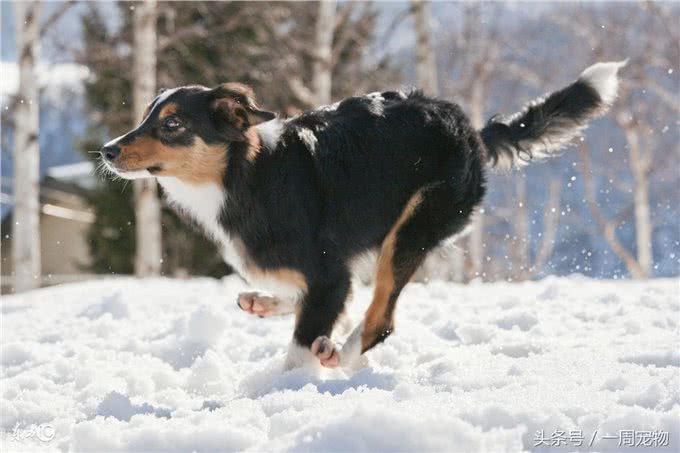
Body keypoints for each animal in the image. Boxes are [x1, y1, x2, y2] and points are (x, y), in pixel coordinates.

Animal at [98, 60, 624, 370]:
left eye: (173, 124)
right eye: (145, 117)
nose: (106, 150)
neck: (243, 174)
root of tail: (470, 130)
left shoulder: (329, 272)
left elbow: (305, 338)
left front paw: (277, 392)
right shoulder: (329, 272)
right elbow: (313, 302)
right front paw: (268, 306)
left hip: (413, 227)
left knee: (379, 319)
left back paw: (339, 354)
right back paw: (270, 305)